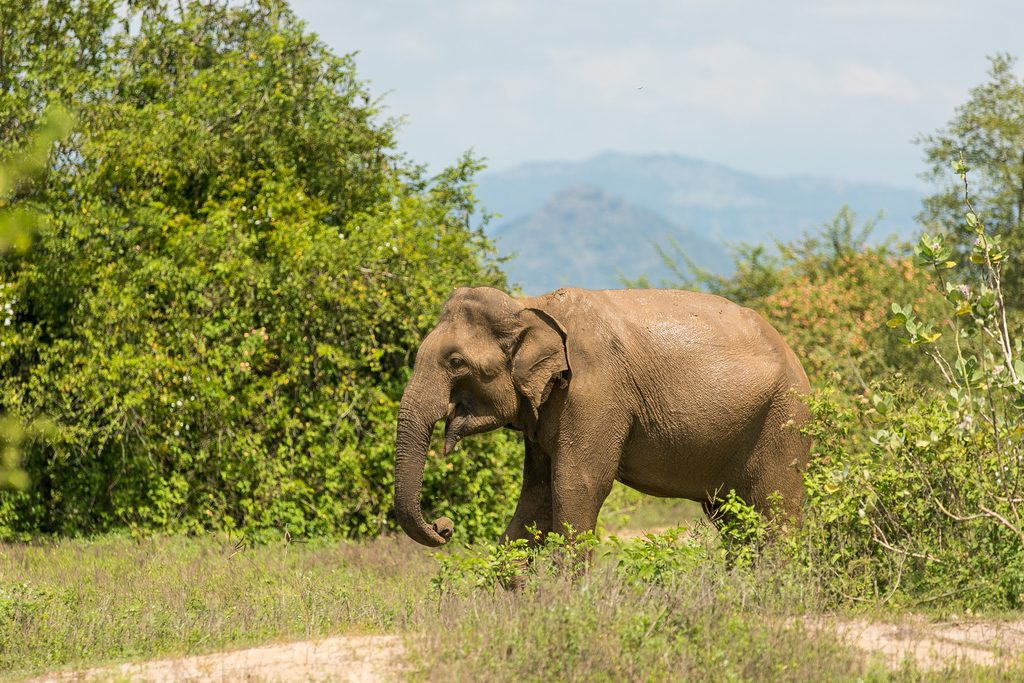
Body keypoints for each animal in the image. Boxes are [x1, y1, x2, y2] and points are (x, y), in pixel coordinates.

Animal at [393, 286, 811, 548]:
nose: (444, 526)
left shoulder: (594, 392)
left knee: (775, 509)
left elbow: (577, 485)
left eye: (456, 362)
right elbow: (536, 495)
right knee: (732, 516)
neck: (528, 306)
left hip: (783, 421)